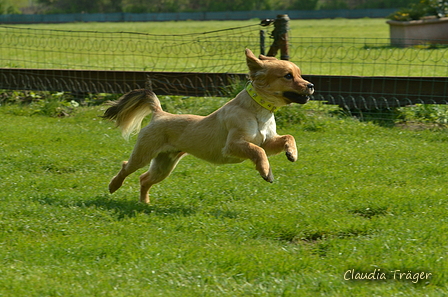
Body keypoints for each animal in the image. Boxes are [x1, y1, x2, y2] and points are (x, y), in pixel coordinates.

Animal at [103, 48, 314, 202]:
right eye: (288, 76)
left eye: (299, 74)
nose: (311, 85)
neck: (257, 112)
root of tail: (159, 113)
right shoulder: (233, 145)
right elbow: (258, 151)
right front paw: (265, 172)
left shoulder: (267, 141)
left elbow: (287, 137)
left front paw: (292, 153)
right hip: (144, 153)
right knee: (126, 166)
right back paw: (113, 186)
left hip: (165, 164)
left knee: (144, 179)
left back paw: (144, 203)